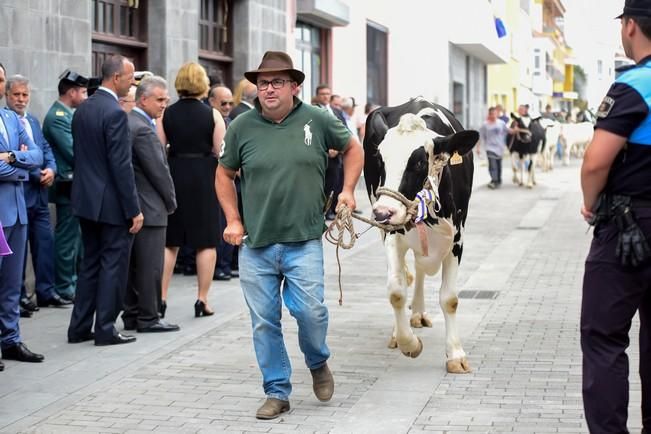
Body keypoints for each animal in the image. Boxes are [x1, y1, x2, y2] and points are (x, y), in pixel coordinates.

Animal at [366, 97, 478, 372]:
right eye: (381, 160)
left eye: (418, 162)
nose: (383, 212)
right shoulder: (392, 234)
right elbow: (396, 291)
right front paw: (408, 343)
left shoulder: (457, 240)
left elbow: (450, 299)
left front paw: (455, 354)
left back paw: (417, 312)